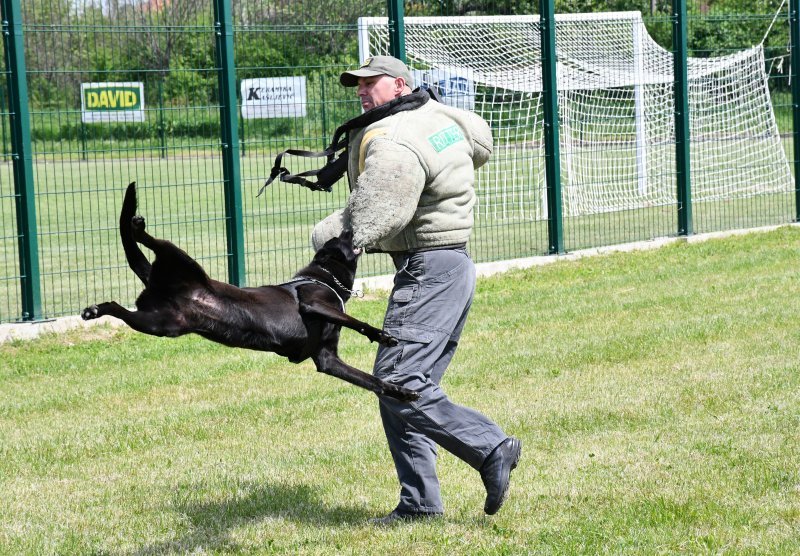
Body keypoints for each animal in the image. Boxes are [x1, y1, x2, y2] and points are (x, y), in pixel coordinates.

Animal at [81, 185, 418, 402]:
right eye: (341, 239)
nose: (349, 229)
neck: (324, 277)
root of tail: (157, 279)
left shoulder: (327, 360)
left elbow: (370, 380)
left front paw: (401, 391)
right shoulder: (313, 303)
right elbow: (355, 321)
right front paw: (383, 336)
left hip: (161, 324)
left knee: (120, 308)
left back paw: (96, 310)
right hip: (182, 262)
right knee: (152, 240)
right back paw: (137, 228)